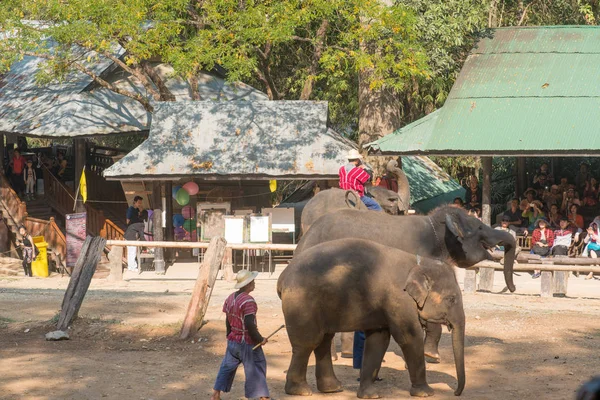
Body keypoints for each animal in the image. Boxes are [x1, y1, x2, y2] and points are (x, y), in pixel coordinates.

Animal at [276, 239, 464, 398]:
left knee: (324, 340)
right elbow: (409, 337)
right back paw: (300, 391)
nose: (456, 393)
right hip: (302, 302)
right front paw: (426, 393)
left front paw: (370, 395)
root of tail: (283, 276)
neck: (419, 263)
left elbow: (378, 341)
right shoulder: (399, 298)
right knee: (307, 343)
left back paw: (332, 389)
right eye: (452, 299)